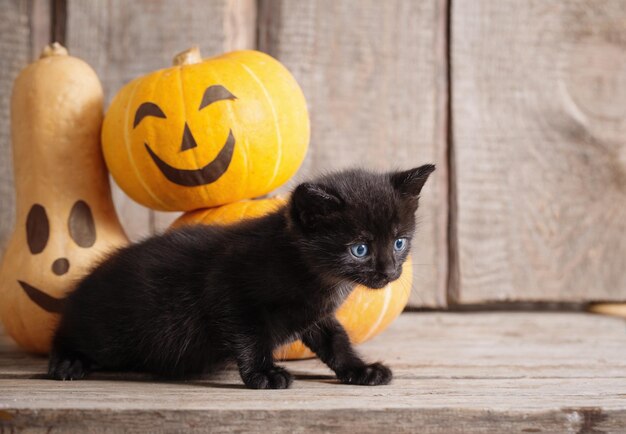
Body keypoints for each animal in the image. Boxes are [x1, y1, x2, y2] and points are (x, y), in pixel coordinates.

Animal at [47, 164, 434, 388]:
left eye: (399, 242)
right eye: (360, 249)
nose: (389, 272)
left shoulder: (314, 315)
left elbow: (335, 340)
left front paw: (359, 369)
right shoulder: (228, 289)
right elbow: (249, 336)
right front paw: (263, 373)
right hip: (108, 332)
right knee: (68, 334)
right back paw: (68, 361)